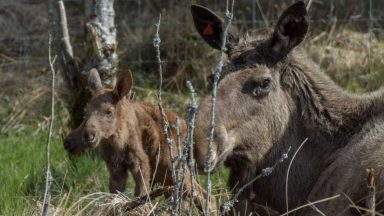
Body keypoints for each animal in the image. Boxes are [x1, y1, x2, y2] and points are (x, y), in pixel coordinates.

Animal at [63, 69, 216, 214]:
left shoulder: (141, 162)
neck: (116, 143)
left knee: (206, 198)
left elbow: (140, 199)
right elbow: (114, 199)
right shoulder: (115, 168)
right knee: (184, 200)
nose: (89, 136)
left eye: (109, 111)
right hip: (166, 176)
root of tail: (186, 128)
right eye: (86, 112)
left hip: (172, 166)